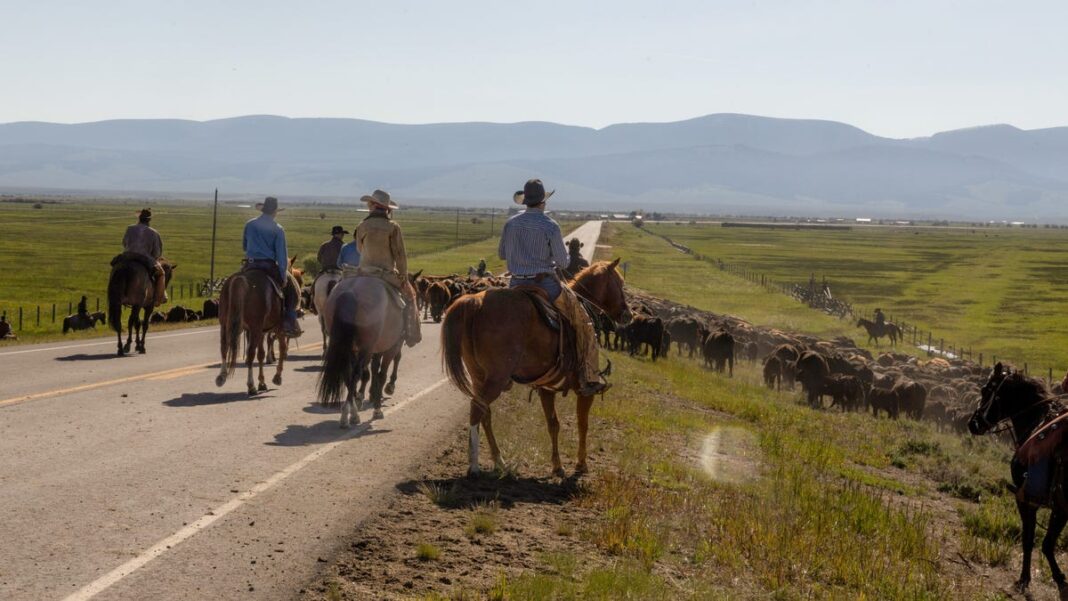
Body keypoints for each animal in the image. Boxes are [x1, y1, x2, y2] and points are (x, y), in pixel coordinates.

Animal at [214, 266, 288, 394]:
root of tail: (240, 279)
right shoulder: (277, 327)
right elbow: (282, 348)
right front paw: (277, 377)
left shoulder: (259, 331)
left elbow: (261, 354)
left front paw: (262, 382)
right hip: (255, 328)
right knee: (250, 354)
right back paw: (251, 385)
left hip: (225, 325)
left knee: (224, 347)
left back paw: (222, 376)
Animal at [318, 277, 405, 426]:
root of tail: (350, 291)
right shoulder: (392, 346)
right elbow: (382, 374)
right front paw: (378, 407)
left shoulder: (374, 350)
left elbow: (374, 370)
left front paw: (371, 394)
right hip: (366, 348)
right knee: (356, 374)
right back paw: (350, 414)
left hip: (347, 347)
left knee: (348, 373)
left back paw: (352, 410)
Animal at [442, 261, 632, 478]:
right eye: (620, 283)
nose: (628, 314)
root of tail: (474, 303)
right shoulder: (584, 391)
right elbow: (582, 424)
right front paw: (581, 464)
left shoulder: (546, 389)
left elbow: (553, 424)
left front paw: (558, 466)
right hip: (495, 380)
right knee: (476, 409)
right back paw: (474, 465)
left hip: (479, 376)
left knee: (485, 413)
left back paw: (500, 462)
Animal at [969, 365, 1068, 593]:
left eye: (986, 390)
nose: (972, 424)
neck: (1037, 420)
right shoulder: (1060, 508)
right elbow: (1047, 543)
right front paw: (1058, 577)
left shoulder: (1027, 500)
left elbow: (1031, 540)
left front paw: (1025, 578)